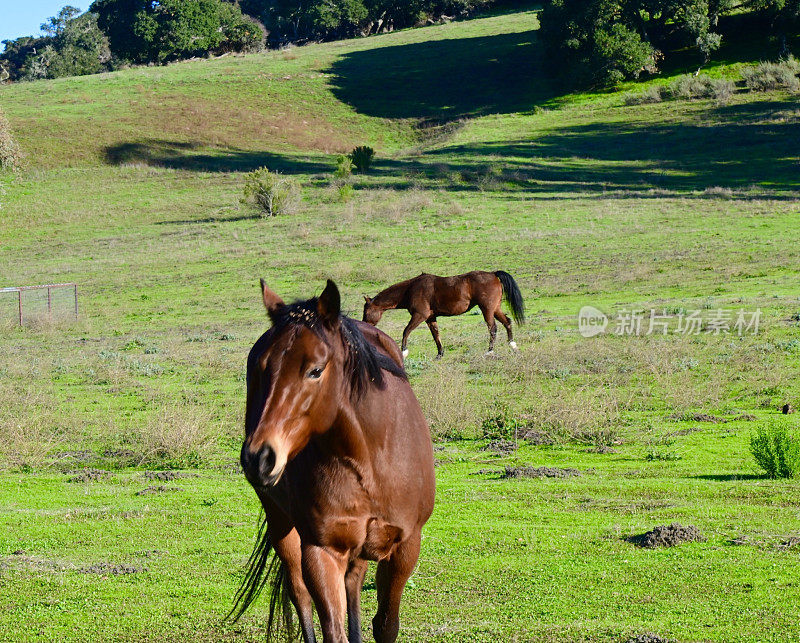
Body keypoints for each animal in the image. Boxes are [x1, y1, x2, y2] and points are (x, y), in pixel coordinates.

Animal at [231, 280, 438, 643]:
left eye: (315, 370)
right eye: (260, 369)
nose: (258, 457)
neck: (370, 459)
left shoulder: (405, 546)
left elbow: (386, 624)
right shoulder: (321, 550)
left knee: (353, 584)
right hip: (280, 521)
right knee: (299, 593)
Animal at [362, 270, 524, 360]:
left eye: (366, 311)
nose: (364, 325)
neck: (411, 289)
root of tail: (493, 274)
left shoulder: (420, 315)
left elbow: (406, 331)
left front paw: (404, 352)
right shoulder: (430, 318)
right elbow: (436, 335)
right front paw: (440, 354)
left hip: (487, 310)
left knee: (493, 328)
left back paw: (489, 351)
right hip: (495, 309)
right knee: (507, 322)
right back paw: (512, 345)